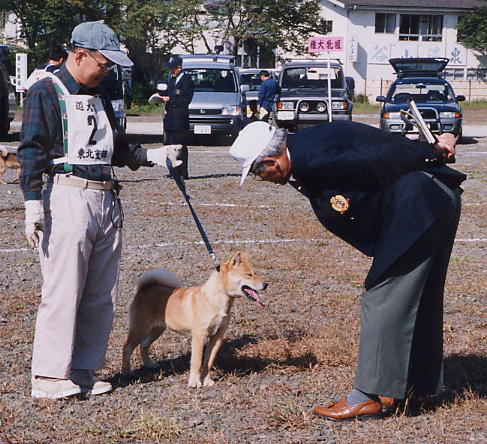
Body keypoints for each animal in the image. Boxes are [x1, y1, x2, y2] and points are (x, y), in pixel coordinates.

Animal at [122, 253, 266, 388]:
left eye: (254, 273)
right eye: (249, 274)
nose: (266, 284)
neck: (215, 299)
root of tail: (144, 289)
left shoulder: (217, 337)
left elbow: (208, 361)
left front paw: (206, 380)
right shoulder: (199, 336)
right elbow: (197, 361)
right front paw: (194, 382)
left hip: (157, 329)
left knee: (144, 345)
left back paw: (149, 364)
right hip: (141, 329)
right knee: (127, 348)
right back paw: (126, 372)